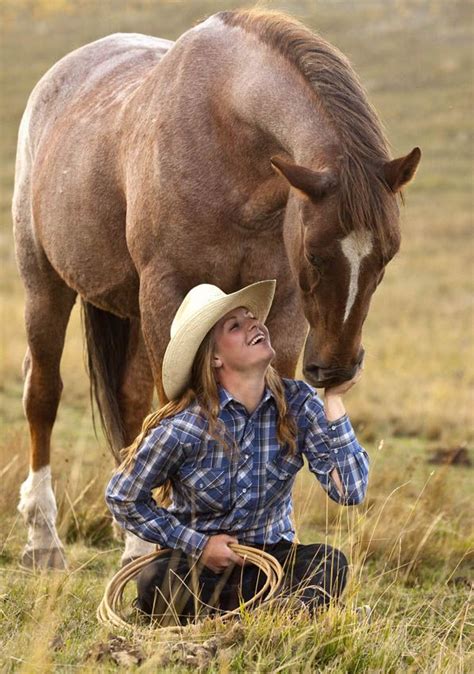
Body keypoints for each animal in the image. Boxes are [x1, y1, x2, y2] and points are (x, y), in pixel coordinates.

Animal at [11, 10, 420, 568]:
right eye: (315, 252)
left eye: (387, 256)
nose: (336, 369)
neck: (227, 138)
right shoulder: (167, 293)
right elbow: (173, 409)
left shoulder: (282, 307)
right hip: (45, 285)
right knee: (43, 394)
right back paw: (44, 540)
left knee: (130, 400)